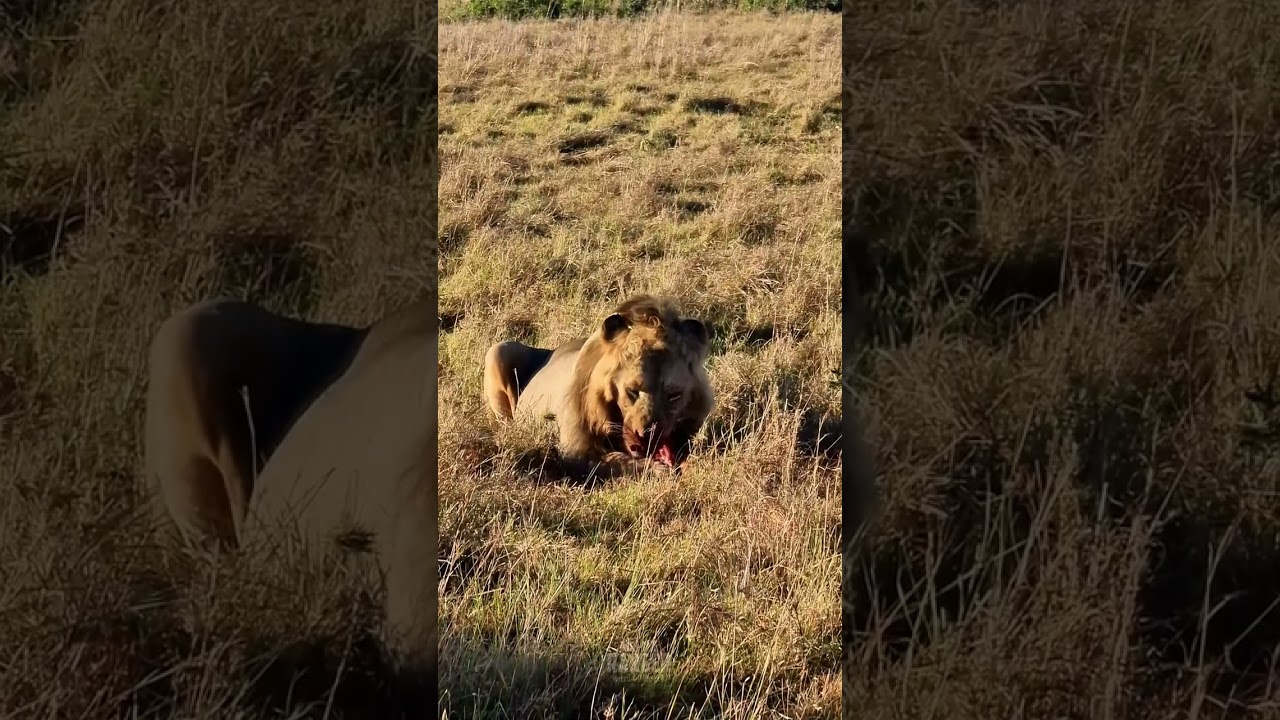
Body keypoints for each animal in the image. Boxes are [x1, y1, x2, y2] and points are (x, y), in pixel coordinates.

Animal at [482, 294, 715, 476]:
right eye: (632, 391)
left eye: (674, 395)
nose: (648, 436)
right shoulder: (572, 452)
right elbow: (616, 461)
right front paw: (657, 469)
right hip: (498, 350)